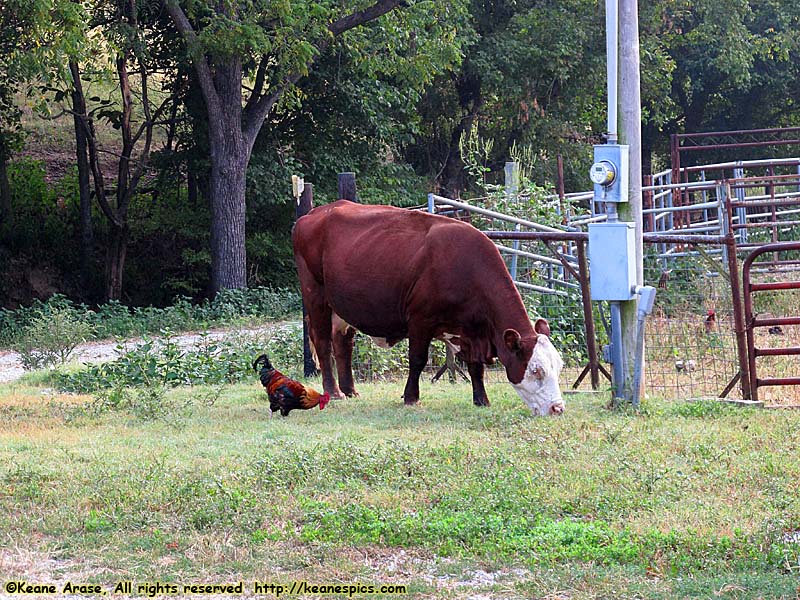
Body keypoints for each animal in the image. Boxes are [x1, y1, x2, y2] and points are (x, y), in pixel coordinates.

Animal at [290, 199, 564, 414]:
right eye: (536, 370)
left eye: (558, 367)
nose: (558, 408)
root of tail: (313, 214)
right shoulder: (420, 319)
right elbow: (418, 359)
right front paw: (411, 397)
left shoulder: (469, 329)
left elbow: (475, 367)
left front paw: (481, 400)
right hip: (315, 294)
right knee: (323, 343)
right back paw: (334, 391)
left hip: (343, 306)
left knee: (343, 343)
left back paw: (350, 390)